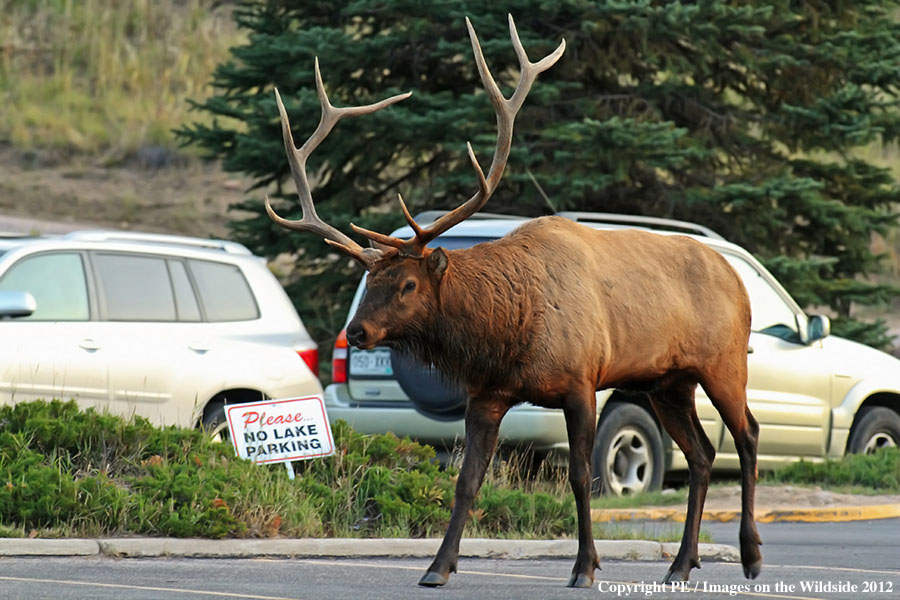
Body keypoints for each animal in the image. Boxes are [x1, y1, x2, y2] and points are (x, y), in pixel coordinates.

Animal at [266, 14, 760, 592]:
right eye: (369, 282)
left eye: (407, 284)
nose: (359, 333)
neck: (506, 333)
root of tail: (738, 278)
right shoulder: (486, 395)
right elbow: (467, 481)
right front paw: (437, 567)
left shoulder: (581, 382)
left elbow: (580, 478)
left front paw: (585, 567)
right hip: (668, 383)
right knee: (702, 456)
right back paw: (681, 564)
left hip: (723, 364)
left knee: (747, 436)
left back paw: (751, 555)